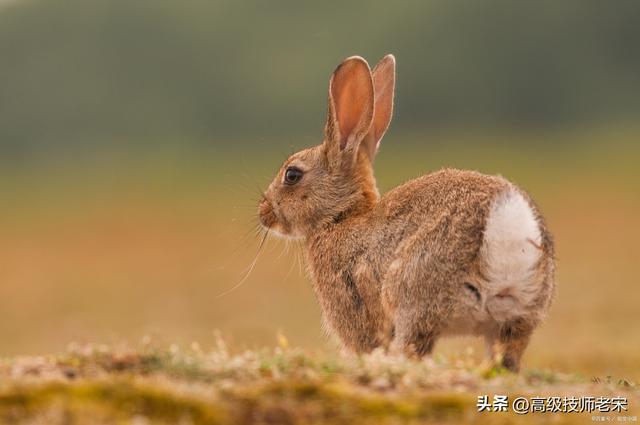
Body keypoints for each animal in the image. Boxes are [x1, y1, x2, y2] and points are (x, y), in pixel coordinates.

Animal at [258, 54, 552, 370]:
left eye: (292, 175)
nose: (264, 213)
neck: (341, 216)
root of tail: (505, 223)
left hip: (413, 296)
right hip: (518, 316)